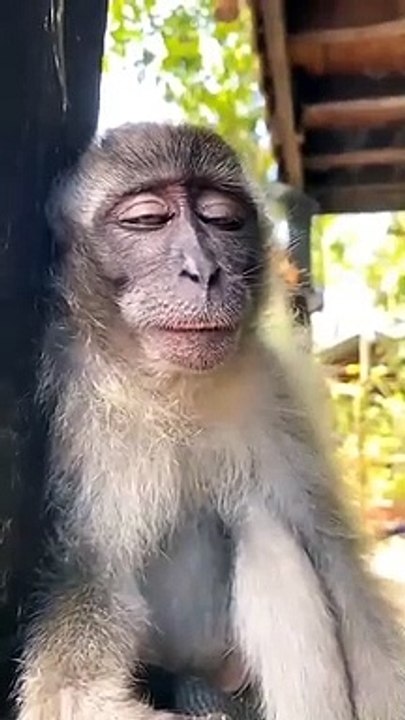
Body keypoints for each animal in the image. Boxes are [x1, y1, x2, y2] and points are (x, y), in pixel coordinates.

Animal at [15, 121, 405, 720]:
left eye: (222, 219)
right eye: (147, 219)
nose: (202, 272)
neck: (173, 387)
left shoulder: (277, 392)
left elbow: (346, 583)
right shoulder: (84, 426)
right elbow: (71, 686)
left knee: (267, 528)